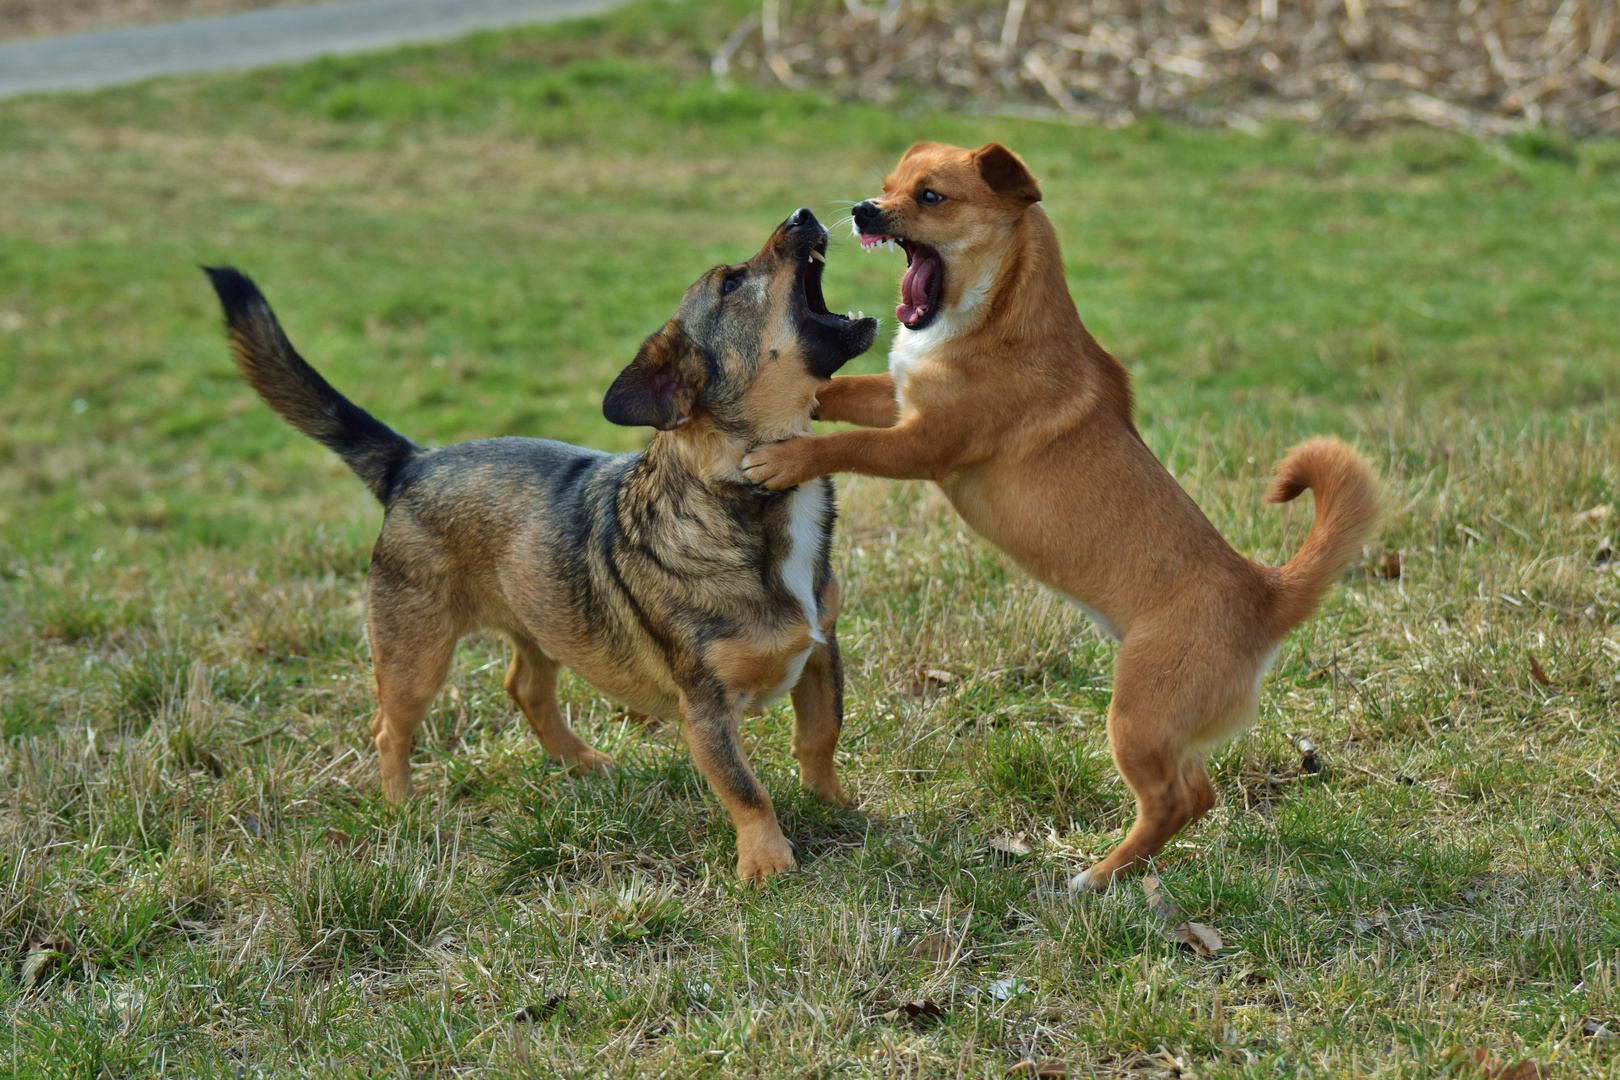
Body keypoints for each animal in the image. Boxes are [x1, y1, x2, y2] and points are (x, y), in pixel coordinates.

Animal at [208, 207, 881, 880]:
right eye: (733, 283)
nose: (803, 213)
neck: (750, 496)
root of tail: (410, 464)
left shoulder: (821, 653)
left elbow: (820, 736)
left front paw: (833, 805)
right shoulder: (707, 708)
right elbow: (745, 788)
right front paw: (767, 862)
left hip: (541, 620)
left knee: (525, 690)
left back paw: (580, 761)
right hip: (414, 656)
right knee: (389, 729)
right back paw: (401, 810)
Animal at [745, 141, 1380, 887]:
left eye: (931, 197)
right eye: (887, 185)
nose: (863, 209)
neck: (995, 315)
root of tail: (1266, 591)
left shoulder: (923, 444)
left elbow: (846, 444)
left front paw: (784, 459)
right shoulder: (898, 399)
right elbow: (835, 392)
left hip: (1136, 718)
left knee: (1173, 801)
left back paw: (1094, 878)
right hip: (1164, 727)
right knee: (1198, 793)